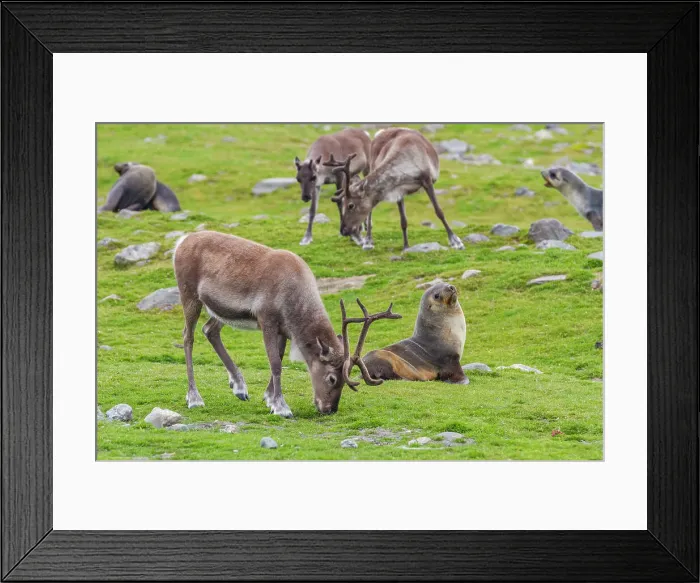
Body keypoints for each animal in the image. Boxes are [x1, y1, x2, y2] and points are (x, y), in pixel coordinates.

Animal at [173, 231, 401, 417]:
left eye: (346, 381)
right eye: (332, 379)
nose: (329, 409)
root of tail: (181, 242)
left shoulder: (283, 329)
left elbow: (280, 358)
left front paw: (269, 398)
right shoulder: (267, 320)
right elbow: (275, 363)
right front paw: (282, 407)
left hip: (220, 311)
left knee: (209, 330)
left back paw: (239, 387)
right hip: (190, 295)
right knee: (187, 337)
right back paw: (194, 398)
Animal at [325, 127, 465, 251]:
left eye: (350, 205)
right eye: (343, 203)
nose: (343, 230)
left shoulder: (426, 180)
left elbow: (439, 211)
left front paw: (455, 241)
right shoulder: (397, 190)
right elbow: (403, 221)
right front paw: (406, 246)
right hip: (371, 166)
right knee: (370, 212)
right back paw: (368, 241)